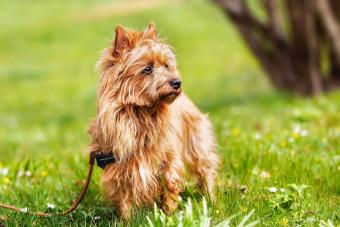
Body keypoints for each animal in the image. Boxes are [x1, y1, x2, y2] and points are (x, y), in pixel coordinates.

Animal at [87, 23, 219, 220]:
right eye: (147, 69)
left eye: (166, 65)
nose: (177, 82)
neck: (142, 114)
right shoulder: (119, 167)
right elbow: (124, 198)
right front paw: (127, 221)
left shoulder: (168, 159)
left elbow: (170, 186)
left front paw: (169, 216)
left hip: (197, 143)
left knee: (205, 170)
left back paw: (211, 199)